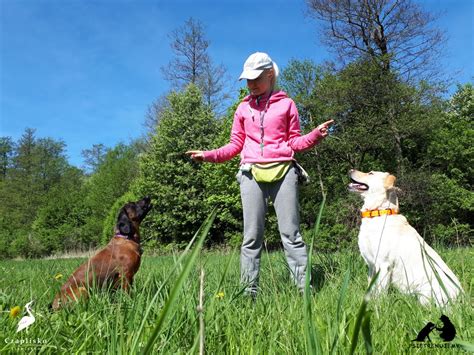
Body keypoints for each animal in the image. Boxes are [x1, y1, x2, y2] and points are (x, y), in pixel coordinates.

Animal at [348, 169, 462, 306]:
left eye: (370, 173)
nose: (350, 170)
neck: (378, 213)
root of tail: (462, 299)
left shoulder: (383, 265)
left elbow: (380, 293)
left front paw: (378, 307)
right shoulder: (371, 266)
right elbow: (370, 288)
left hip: (425, 291)